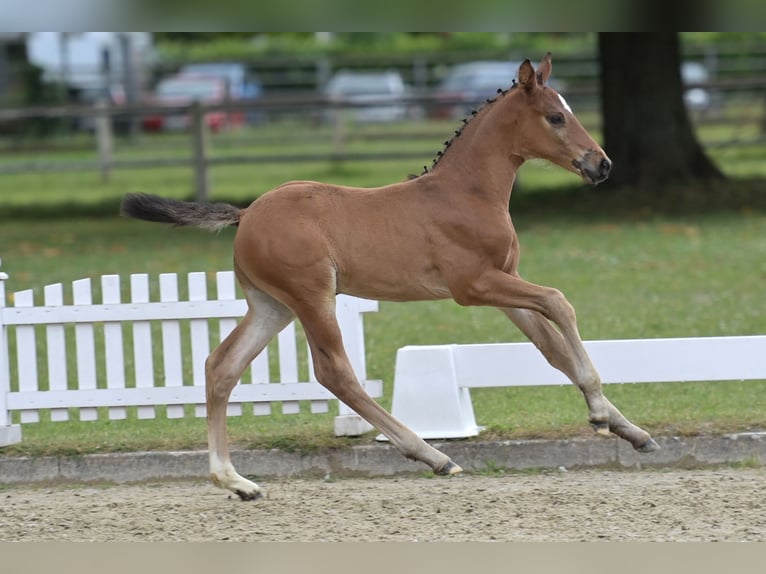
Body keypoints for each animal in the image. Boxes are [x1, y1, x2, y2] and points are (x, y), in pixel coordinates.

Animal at [121, 53, 659, 501]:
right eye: (555, 116)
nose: (601, 164)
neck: (465, 193)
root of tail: (247, 213)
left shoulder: (503, 283)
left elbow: (551, 349)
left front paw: (631, 432)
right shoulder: (474, 287)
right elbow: (559, 301)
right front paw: (598, 414)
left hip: (272, 306)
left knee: (222, 366)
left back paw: (236, 481)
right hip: (312, 296)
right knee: (334, 372)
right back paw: (433, 455)